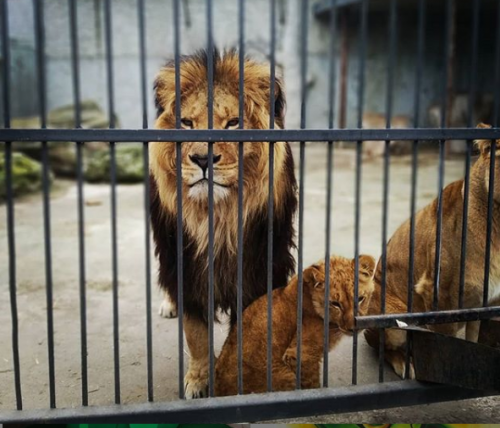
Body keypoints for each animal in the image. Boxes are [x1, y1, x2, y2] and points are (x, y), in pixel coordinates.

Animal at [148, 49, 296, 398]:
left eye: (233, 123)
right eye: (187, 124)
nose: (203, 159)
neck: (219, 218)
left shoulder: (258, 268)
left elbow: (246, 329)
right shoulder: (185, 267)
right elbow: (196, 335)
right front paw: (199, 381)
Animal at [215, 252, 376, 396]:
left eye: (360, 299)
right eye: (335, 304)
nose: (354, 328)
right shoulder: (299, 355)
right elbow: (312, 386)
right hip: (284, 375)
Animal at [364, 123, 500, 378]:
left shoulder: (485, 301)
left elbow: (473, 340)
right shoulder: (440, 292)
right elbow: (447, 345)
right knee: (383, 348)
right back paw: (406, 366)